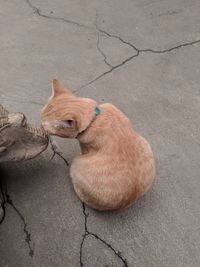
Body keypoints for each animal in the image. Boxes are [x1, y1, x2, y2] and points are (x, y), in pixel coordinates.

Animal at [41, 79, 155, 211]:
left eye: (45, 128)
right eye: (41, 119)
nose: (40, 126)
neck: (94, 118)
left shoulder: (85, 145)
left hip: (78, 162)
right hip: (145, 144)